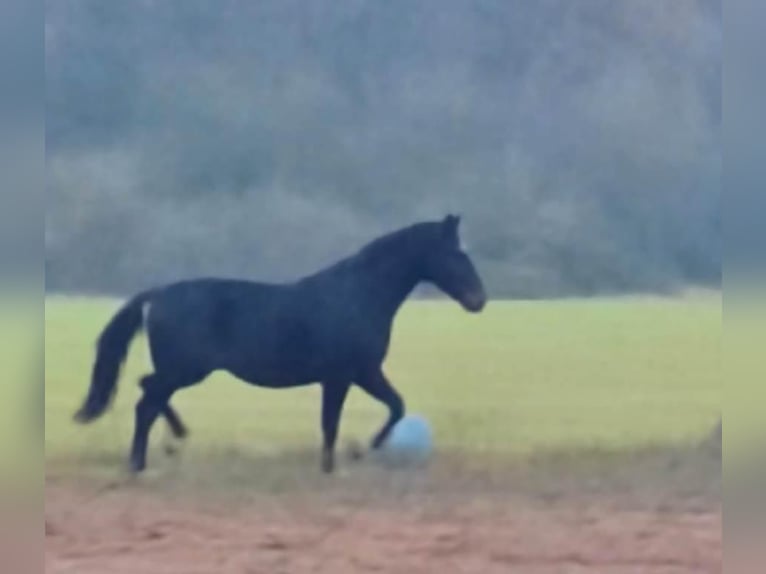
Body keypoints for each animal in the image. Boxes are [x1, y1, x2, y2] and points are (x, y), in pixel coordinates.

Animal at [75, 214, 488, 474]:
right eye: (456, 253)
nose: (479, 299)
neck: (358, 295)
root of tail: (157, 294)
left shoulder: (361, 373)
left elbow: (393, 406)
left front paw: (353, 453)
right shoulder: (345, 375)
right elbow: (335, 422)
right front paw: (350, 456)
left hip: (182, 370)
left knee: (148, 392)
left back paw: (170, 442)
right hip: (186, 369)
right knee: (147, 400)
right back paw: (143, 459)